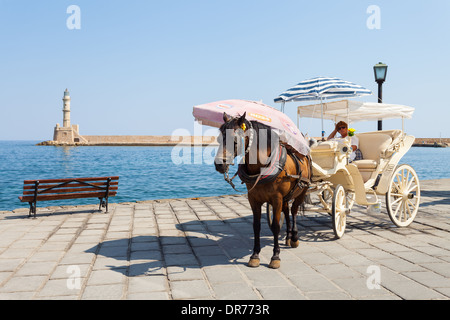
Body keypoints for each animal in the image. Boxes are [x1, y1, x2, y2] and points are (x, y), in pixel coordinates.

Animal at [214, 111, 312, 268]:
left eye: (234, 139)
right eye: (218, 138)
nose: (219, 165)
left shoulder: (277, 199)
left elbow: (276, 226)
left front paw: (275, 256)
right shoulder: (253, 199)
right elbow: (256, 226)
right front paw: (255, 255)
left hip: (302, 191)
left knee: (294, 211)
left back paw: (294, 238)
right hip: (286, 197)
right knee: (287, 211)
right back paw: (288, 236)